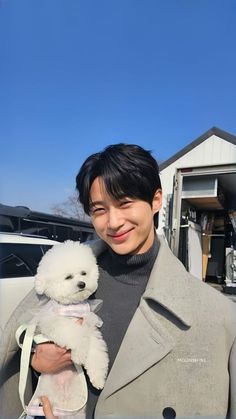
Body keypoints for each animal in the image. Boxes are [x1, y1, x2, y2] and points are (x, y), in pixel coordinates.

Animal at [21, 241, 109, 418]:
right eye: (68, 277)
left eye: (83, 273)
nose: (82, 284)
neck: (72, 308)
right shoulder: (55, 322)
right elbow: (74, 335)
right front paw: (79, 353)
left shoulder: (90, 328)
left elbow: (96, 353)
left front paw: (97, 378)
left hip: (76, 408)